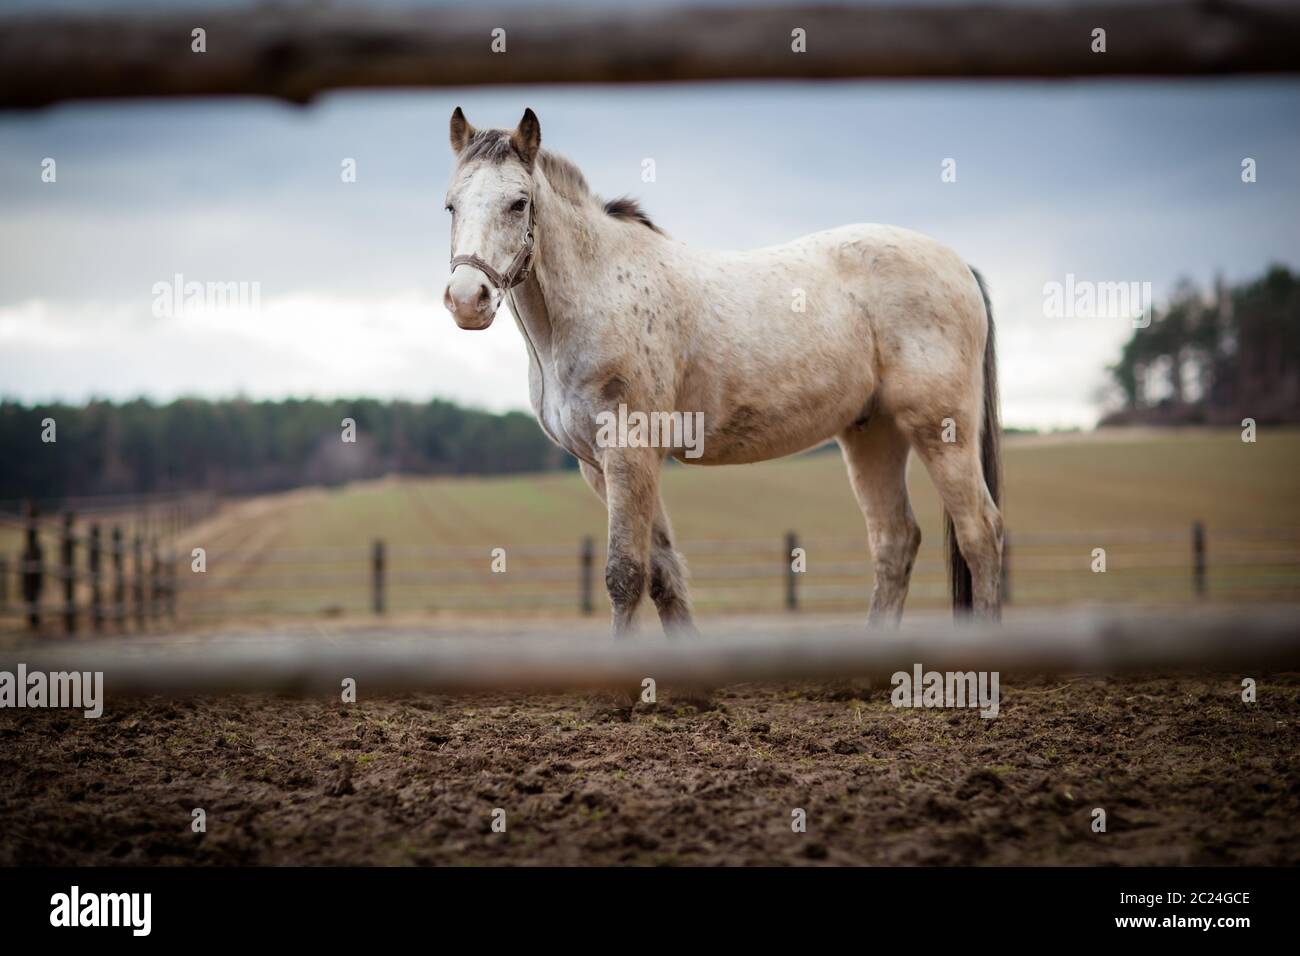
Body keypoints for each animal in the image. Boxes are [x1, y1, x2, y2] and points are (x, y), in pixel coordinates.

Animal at [441, 108, 998, 634]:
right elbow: (664, 577)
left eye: (518, 202)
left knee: (981, 536)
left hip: (941, 431)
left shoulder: (628, 455)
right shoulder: (599, 466)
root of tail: (958, 264)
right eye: (451, 205)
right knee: (894, 541)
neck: (598, 291)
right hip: (872, 434)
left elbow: (626, 576)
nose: (468, 300)